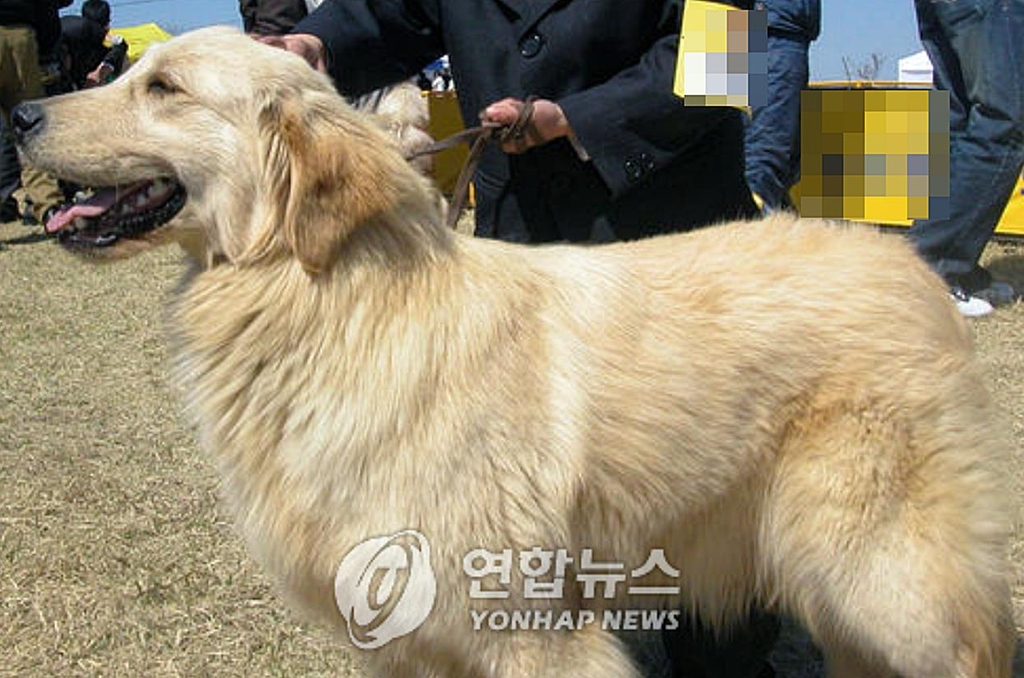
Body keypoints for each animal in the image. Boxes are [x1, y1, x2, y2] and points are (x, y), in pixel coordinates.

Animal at [16, 25, 1015, 678]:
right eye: (137, 72)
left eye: (164, 89)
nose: (20, 113)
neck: (333, 300)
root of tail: (908, 265)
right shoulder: (409, 635)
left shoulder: (530, 630)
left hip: (889, 581)